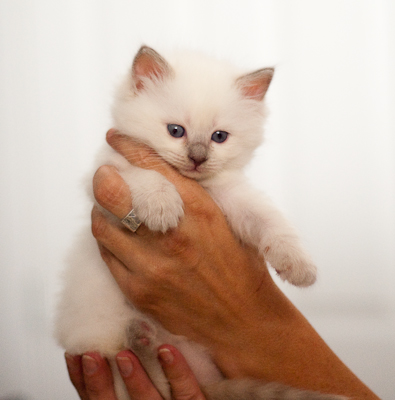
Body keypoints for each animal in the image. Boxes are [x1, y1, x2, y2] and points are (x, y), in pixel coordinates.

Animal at [54, 47, 344, 400]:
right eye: (176, 131)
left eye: (219, 137)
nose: (197, 158)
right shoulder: (104, 178)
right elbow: (144, 174)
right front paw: (161, 206)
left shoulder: (233, 197)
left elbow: (270, 220)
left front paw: (298, 265)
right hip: (102, 339)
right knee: (137, 369)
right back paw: (140, 335)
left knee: (162, 377)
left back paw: (144, 337)